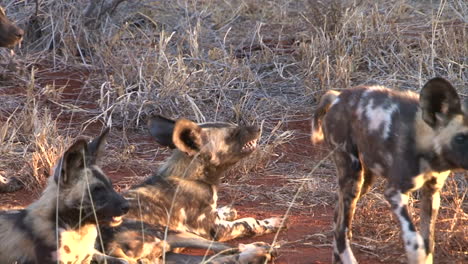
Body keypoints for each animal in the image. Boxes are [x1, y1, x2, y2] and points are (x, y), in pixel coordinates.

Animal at [98, 116, 280, 264]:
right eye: (233, 134)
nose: (258, 128)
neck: (193, 177)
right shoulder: (216, 230)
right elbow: (250, 222)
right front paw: (272, 222)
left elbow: (221, 212)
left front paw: (227, 211)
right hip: (174, 233)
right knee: (227, 250)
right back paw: (263, 250)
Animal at [310, 77, 464, 262]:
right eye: (461, 138)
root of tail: (337, 97)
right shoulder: (394, 192)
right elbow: (414, 239)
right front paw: (416, 255)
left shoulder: (432, 194)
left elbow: (428, 243)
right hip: (353, 177)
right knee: (340, 230)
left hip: (364, 181)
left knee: (337, 215)